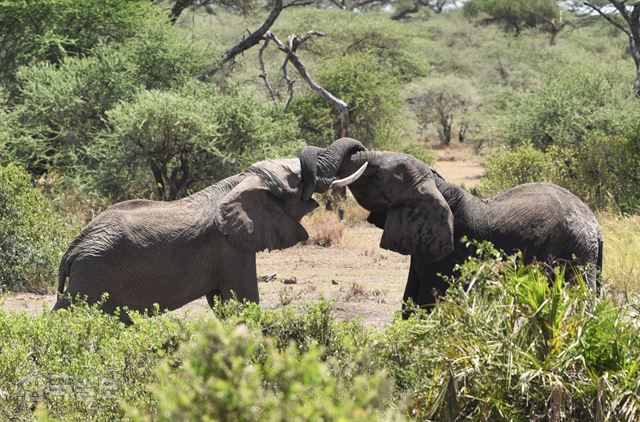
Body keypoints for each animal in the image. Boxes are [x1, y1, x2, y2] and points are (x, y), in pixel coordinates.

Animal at [52, 138, 368, 320]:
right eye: (298, 178)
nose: (361, 150)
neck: (243, 179)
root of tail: (71, 251)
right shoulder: (230, 248)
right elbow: (244, 302)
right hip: (93, 275)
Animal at [302, 140, 604, 318]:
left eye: (375, 174)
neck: (438, 185)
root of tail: (595, 226)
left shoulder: (447, 255)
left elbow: (425, 303)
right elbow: (409, 300)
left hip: (575, 254)